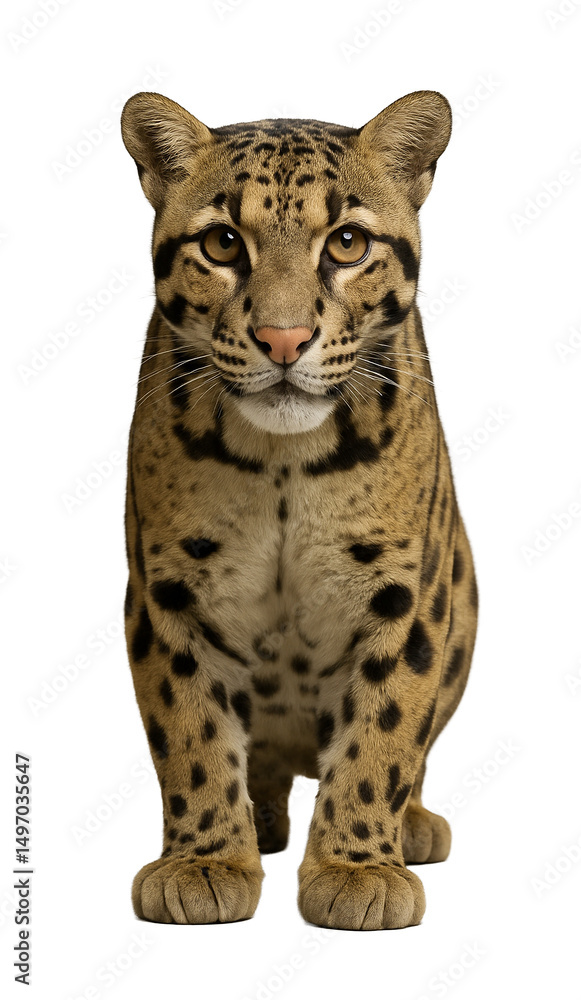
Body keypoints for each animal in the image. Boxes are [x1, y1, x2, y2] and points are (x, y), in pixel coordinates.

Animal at [120, 89, 478, 930]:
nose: (283, 339)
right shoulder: (166, 590)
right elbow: (188, 728)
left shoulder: (407, 590)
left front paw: (356, 868)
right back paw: (262, 823)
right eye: (222, 243)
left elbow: (385, 730)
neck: (284, 465)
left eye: (346, 242)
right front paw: (204, 861)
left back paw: (411, 826)